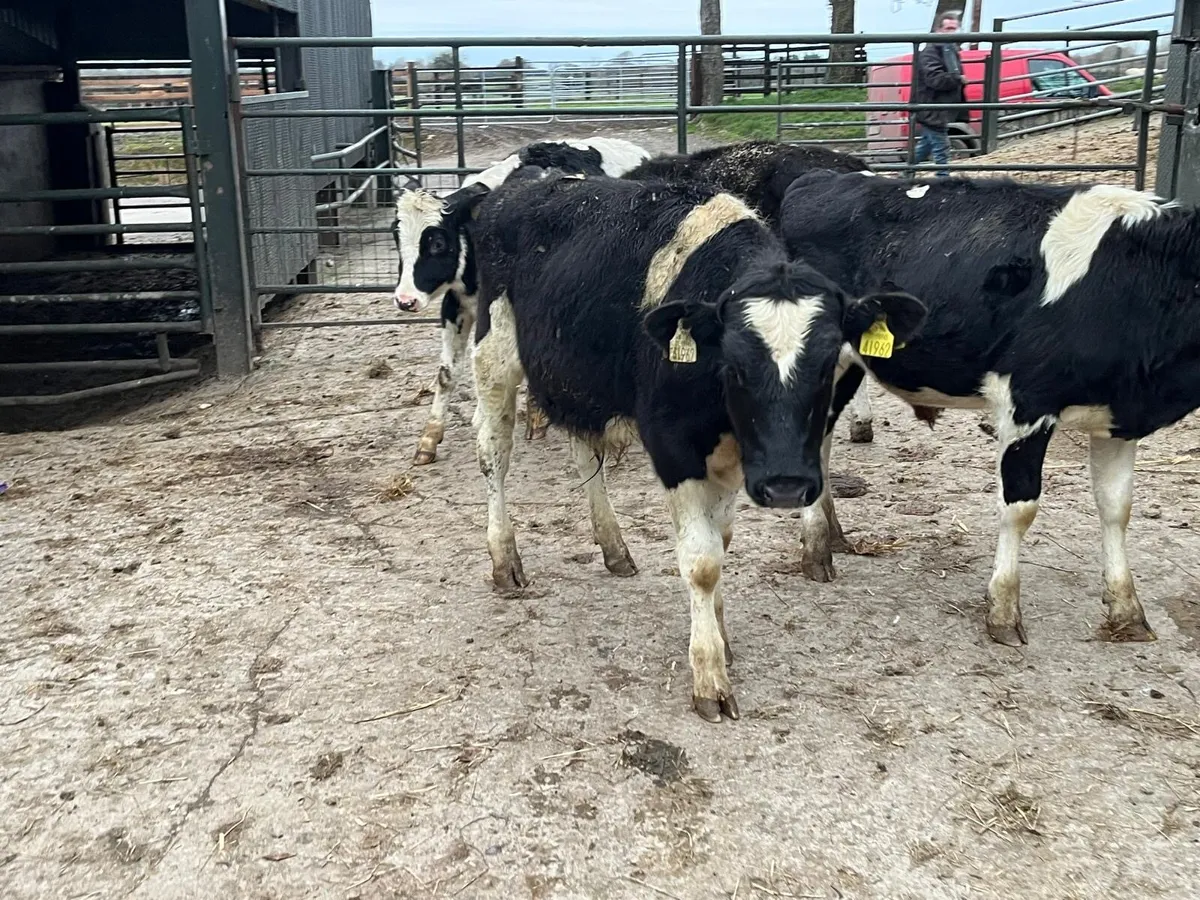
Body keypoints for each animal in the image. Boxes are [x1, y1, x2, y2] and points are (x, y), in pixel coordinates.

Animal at [390, 136, 651, 464]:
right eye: (397, 240)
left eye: (437, 243)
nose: (405, 300)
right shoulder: (456, 304)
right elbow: (447, 374)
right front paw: (429, 439)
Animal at [778, 170, 1200, 646]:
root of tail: (822, 176)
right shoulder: (1026, 402)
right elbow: (1020, 508)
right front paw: (1003, 611)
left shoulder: (1117, 415)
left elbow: (1117, 507)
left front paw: (1127, 609)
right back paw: (816, 550)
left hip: (850, 367)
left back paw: (832, 535)